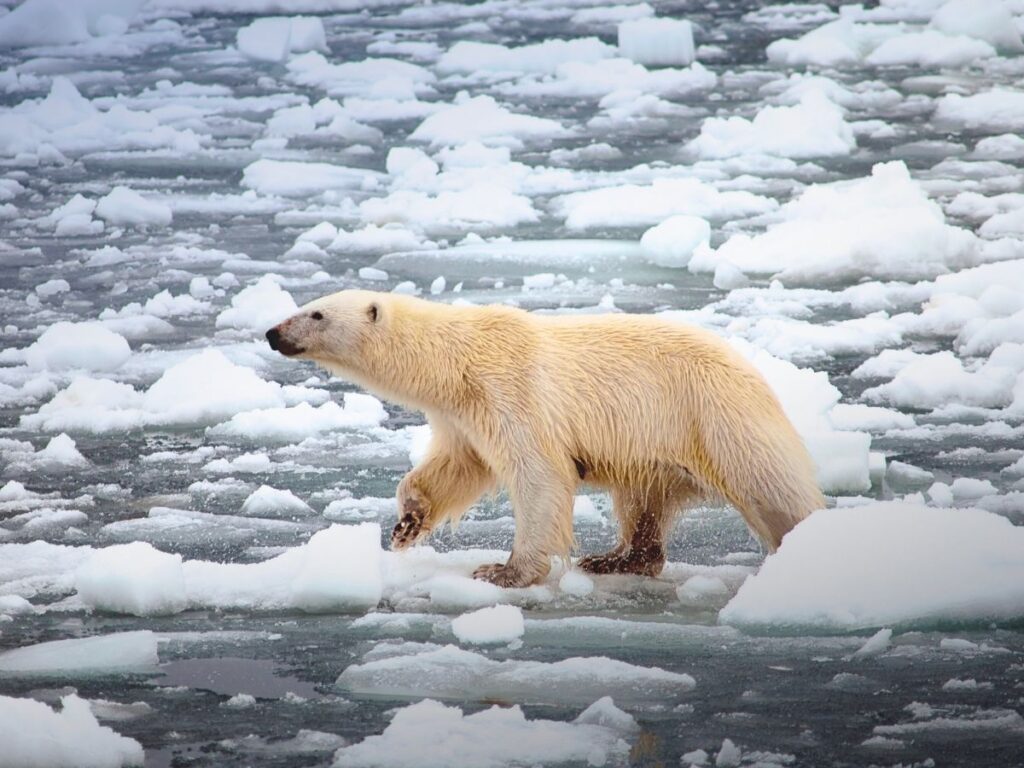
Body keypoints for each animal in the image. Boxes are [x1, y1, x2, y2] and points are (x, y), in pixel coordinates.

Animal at [266, 290, 823, 585]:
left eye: (316, 313)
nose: (273, 333)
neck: (458, 360)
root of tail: (757, 374)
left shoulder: (512, 391)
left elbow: (539, 475)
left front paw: (503, 571)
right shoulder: (463, 415)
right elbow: (457, 467)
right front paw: (407, 523)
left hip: (712, 415)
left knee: (772, 489)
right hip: (657, 446)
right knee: (643, 497)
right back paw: (616, 558)